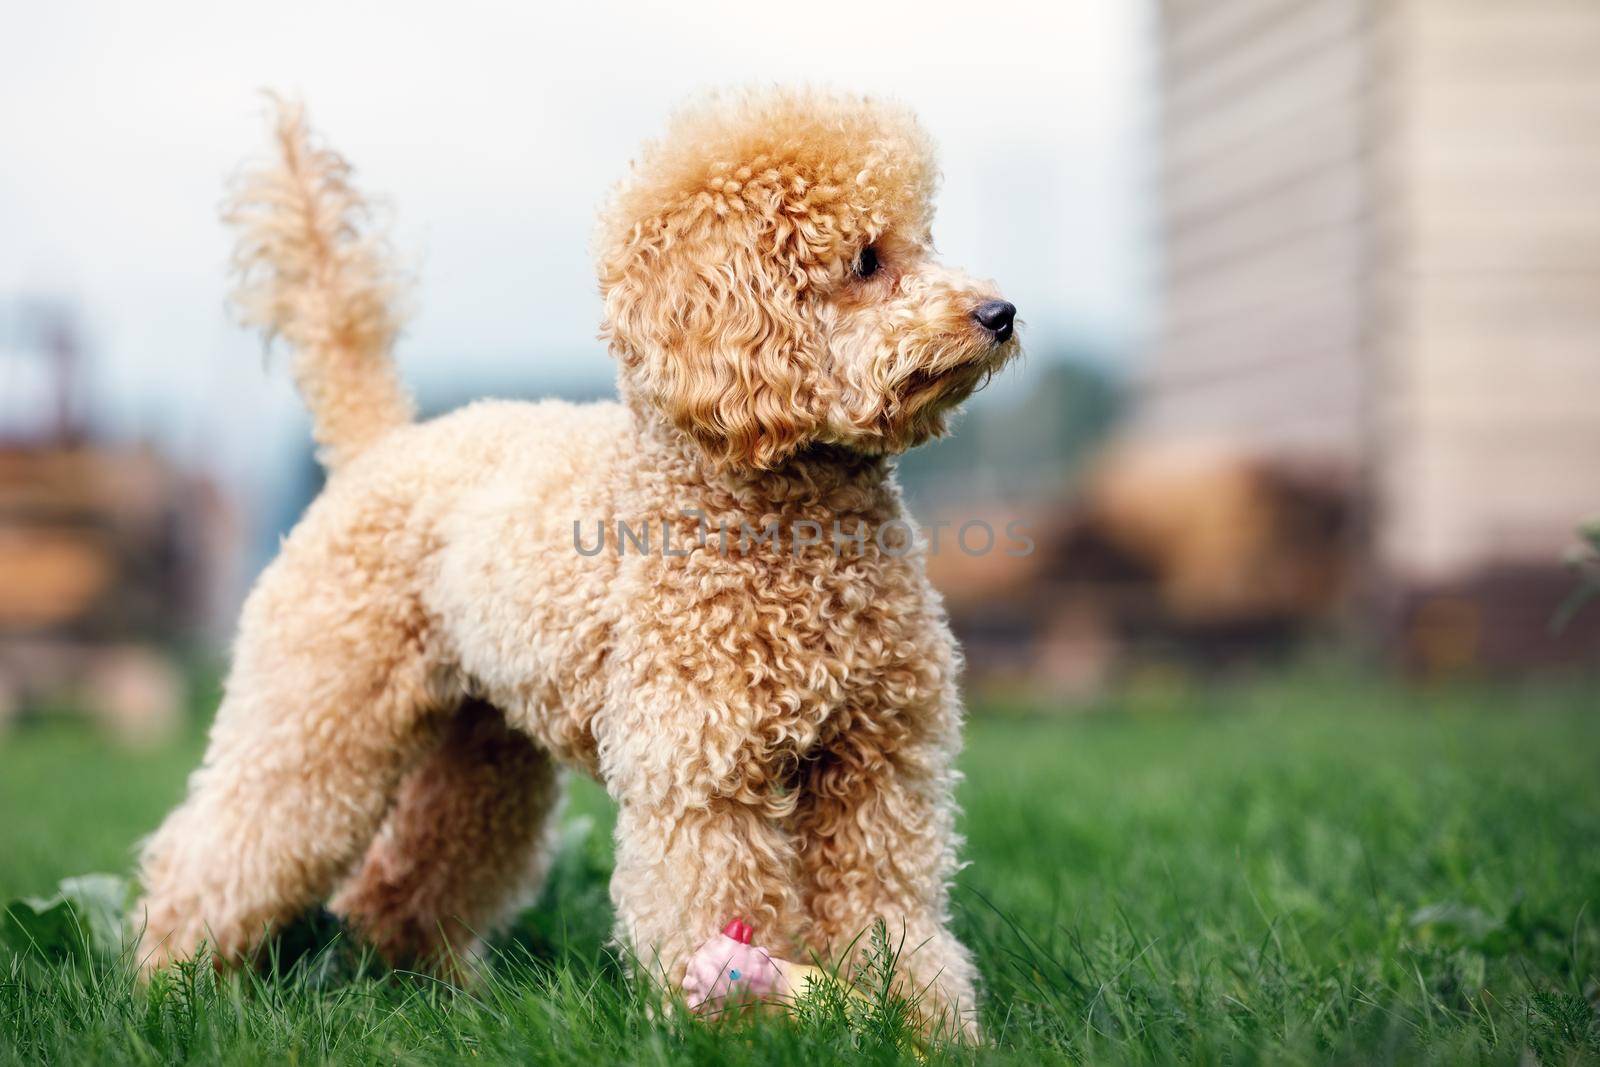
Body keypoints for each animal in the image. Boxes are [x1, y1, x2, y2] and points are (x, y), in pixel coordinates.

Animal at [134, 87, 1011, 1036]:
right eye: (866, 260)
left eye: (925, 240)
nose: (999, 314)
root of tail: (379, 443)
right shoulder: (702, 771)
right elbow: (717, 901)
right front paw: (743, 1027)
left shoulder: (880, 760)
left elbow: (889, 910)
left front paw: (924, 1025)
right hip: (317, 701)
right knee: (223, 849)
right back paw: (166, 981)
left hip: (482, 746)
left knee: (404, 880)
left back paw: (437, 995)